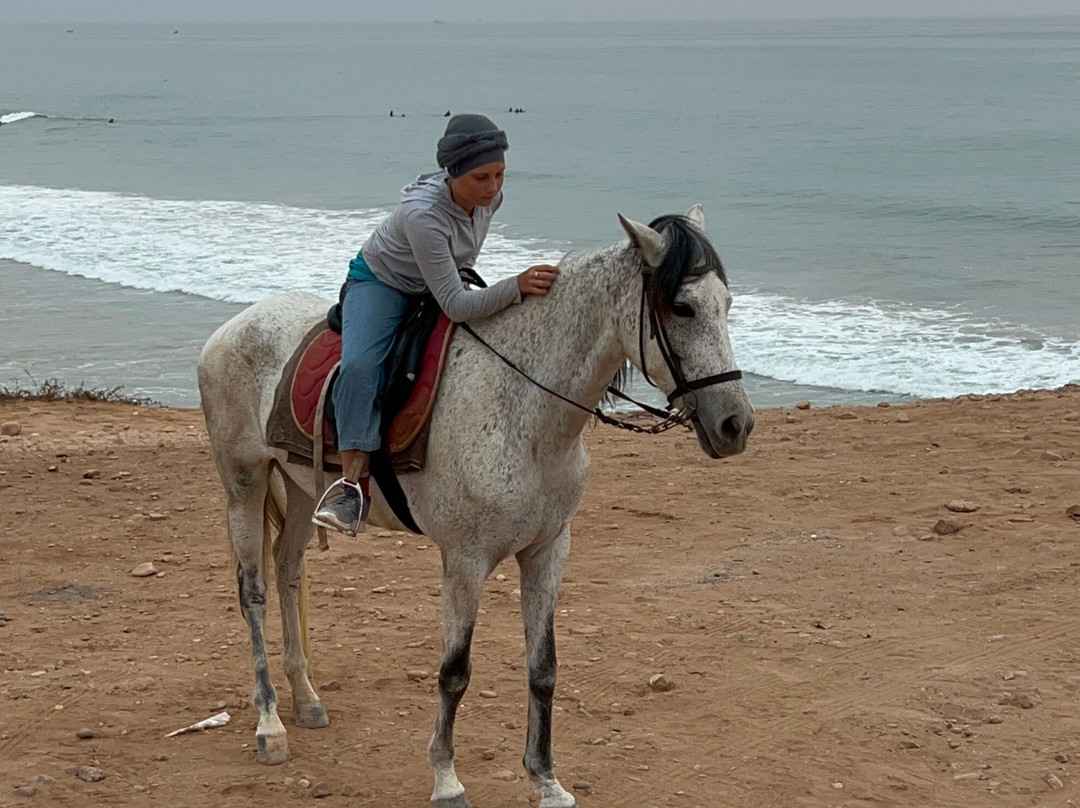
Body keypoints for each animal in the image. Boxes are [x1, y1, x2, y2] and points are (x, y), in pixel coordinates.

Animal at [197, 205, 754, 808]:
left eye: (728, 303)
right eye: (682, 307)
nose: (736, 424)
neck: (525, 410)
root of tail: (233, 328)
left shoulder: (548, 551)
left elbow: (543, 667)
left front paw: (547, 780)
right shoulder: (465, 560)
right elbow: (455, 672)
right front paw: (446, 779)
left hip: (301, 489)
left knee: (289, 569)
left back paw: (305, 699)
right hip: (245, 481)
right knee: (253, 591)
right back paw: (270, 723)